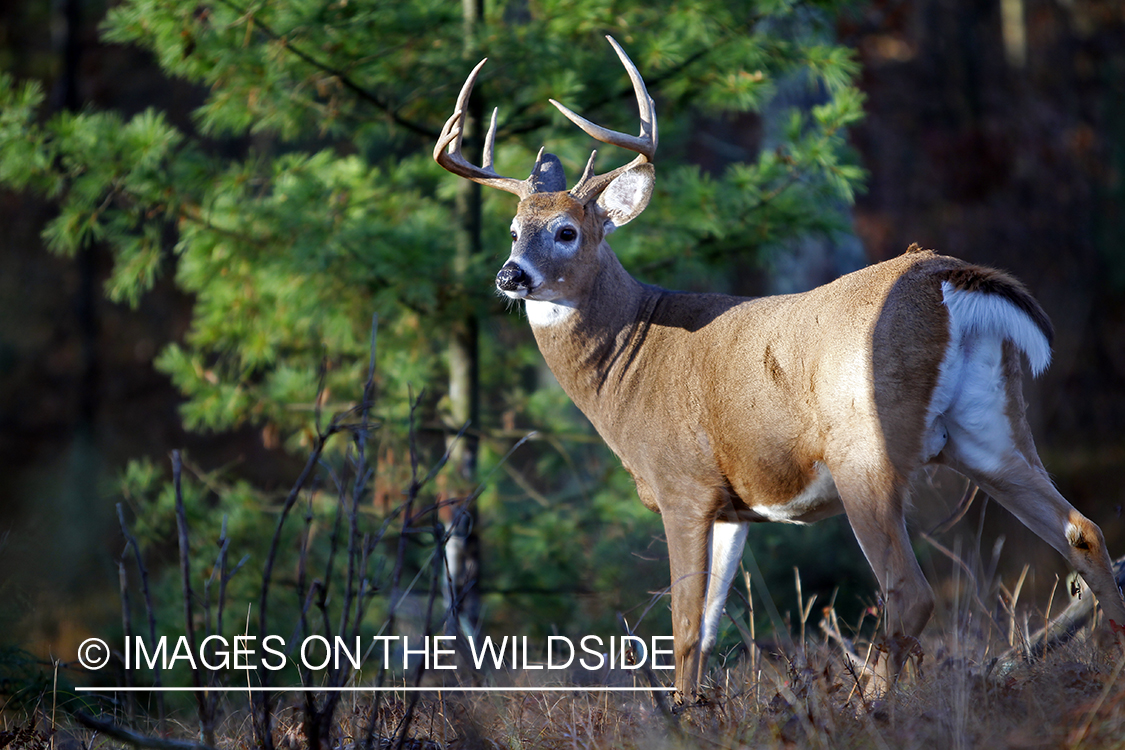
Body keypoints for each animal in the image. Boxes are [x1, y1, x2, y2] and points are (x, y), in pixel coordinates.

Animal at [429, 36, 1125, 706]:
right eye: (514, 229)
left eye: (567, 231)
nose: (510, 275)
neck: (631, 358)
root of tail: (945, 275)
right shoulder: (733, 509)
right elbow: (709, 628)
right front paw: (698, 714)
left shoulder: (682, 486)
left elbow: (683, 626)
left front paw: (678, 715)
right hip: (989, 430)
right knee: (1083, 531)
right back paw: (1109, 673)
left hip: (865, 449)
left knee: (909, 589)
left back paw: (867, 710)